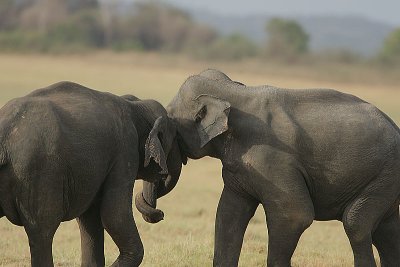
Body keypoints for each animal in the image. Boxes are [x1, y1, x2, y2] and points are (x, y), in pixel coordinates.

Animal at [0, 81, 184, 267]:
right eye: (176, 140)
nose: (161, 214)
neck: (135, 105)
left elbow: (90, 219)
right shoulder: (125, 151)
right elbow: (114, 216)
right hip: (39, 174)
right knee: (42, 232)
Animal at [137, 69, 400, 267]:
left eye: (172, 130)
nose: (159, 214)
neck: (235, 92)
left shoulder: (273, 162)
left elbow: (295, 214)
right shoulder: (239, 170)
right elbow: (228, 214)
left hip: (386, 175)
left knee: (356, 225)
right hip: (387, 181)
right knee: (386, 231)